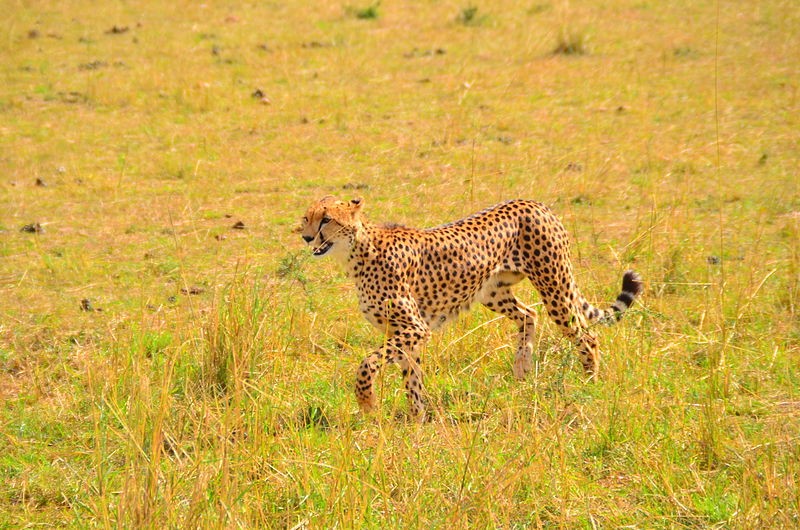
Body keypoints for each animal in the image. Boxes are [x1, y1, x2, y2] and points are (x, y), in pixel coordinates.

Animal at [300, 196, 644, 418]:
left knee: (586, 335)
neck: (356, 252)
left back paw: (589, 382)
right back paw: (522, 369)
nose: (306, 237)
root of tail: (534, 203)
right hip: (491, 291)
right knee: (528, 314)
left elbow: (366, 364)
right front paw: (416, 418)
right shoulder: (404, 332)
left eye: (327, 219)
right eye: (307, 217)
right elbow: (412, 376)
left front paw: (368, 403)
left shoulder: (413, 328)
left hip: (554, 285)